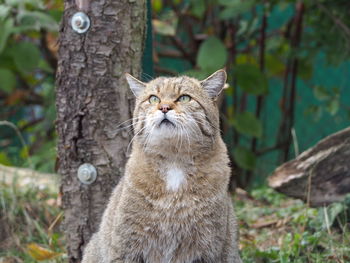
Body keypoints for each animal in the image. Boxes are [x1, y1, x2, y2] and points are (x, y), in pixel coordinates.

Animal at [81, 69, 242, 262]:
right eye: (153, 99)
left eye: (184, 98)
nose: (164, 107)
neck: (174, 161)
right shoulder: (126, 247)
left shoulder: (208, 250)